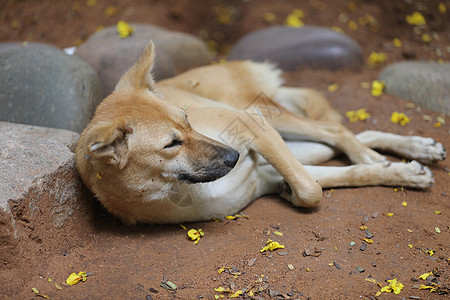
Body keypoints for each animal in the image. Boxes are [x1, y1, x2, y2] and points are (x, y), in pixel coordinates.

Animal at [75, 42, 444, 225]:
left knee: (335, 129)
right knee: (345, 140)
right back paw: (410, 155)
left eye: (188, 119)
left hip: (265, 115)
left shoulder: (254, 127)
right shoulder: (265, 174)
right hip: (294, 140)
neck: (181, 190)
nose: (234, 156)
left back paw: (382, 155)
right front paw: (402, 173)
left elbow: (311, 190)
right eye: (171, 144)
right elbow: (326, 183)